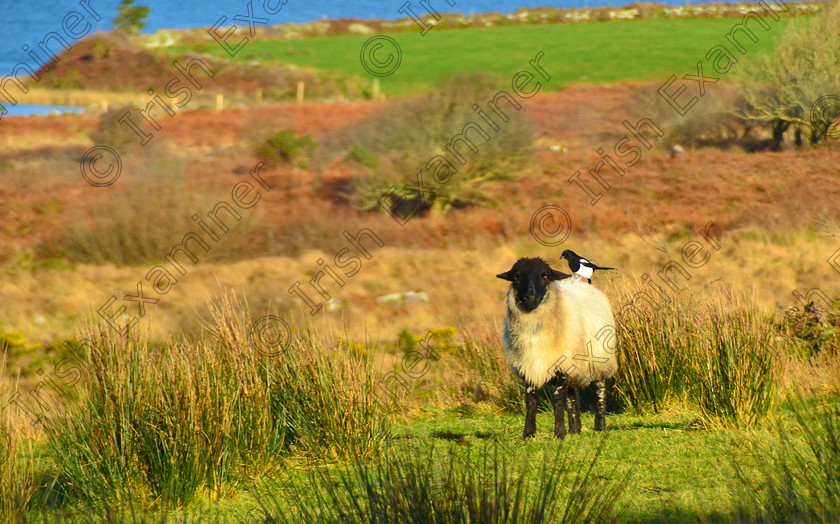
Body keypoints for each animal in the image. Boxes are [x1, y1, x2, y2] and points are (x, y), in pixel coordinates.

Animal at [496, 256, 620, 438]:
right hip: (577, 365)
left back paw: (600, 426)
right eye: (516, 277)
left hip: (600, 361)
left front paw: (559, 433)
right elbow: (532, 401)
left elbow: (557, 399)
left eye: (545, 275)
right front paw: (528, 434)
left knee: (600, 392)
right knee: (573, 397)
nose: (530, 296)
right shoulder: (529, 366)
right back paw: (575, 430)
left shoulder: (563, 365)